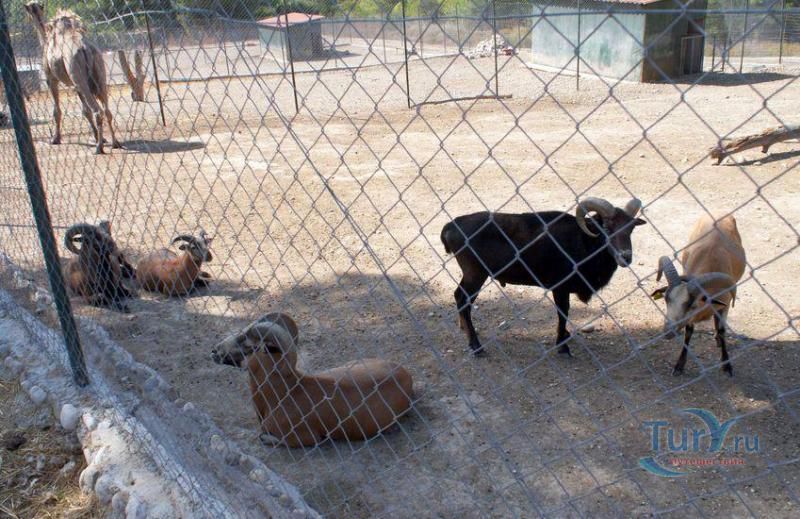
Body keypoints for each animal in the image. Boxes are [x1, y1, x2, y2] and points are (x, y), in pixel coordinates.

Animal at [24, 2, 121, 154]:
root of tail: (85, 49)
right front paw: (99, 137)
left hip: (78, 75)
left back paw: (98, 148)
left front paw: (55, 139)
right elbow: (85, 111)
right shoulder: (76, 86)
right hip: (99, 76)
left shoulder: (51, 78)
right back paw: (115, 143)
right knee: (107, 110)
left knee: (97, 111)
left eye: (27, 9)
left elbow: (57, 111)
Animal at [441, 197, 646, 356]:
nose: (626, 257)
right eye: (607, 227)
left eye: (631, 229)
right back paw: (476, 346)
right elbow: (563, 314)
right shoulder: (560, 288)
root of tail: (450, 227)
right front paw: (563, 347)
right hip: (475, 274)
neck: (584, 243)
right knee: (462, 299)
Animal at [651, 214, 746, 376]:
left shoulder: (726, 304)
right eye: (666, 299)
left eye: (692, 305)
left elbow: (722, 330)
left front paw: (726, 366)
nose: (668, 332)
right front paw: (679, 366)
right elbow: (689, 332)